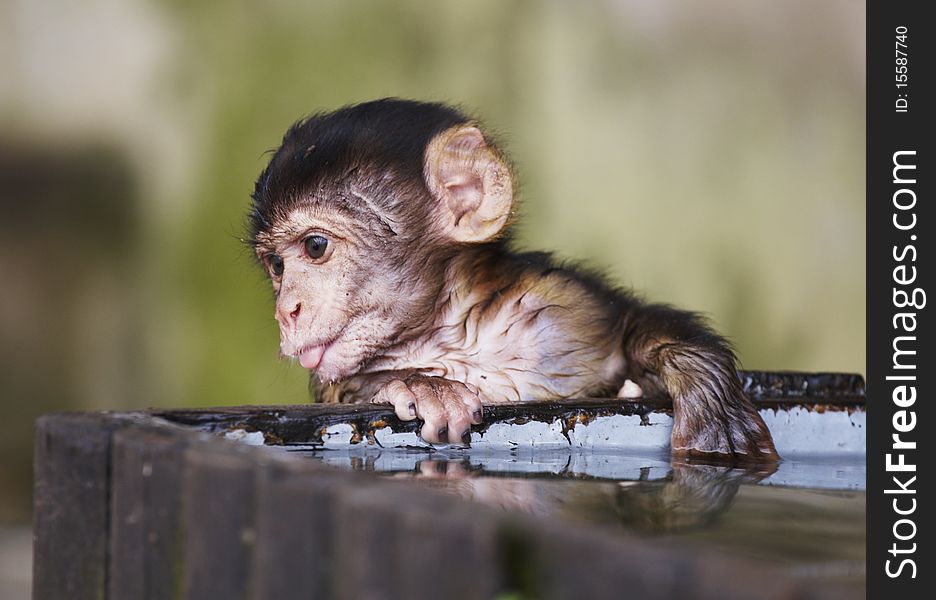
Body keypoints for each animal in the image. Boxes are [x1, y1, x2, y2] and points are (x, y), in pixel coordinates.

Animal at [249, 101, 776, 462]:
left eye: (315, 246)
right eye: (276, 266)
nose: (285, 310)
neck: (453, 333)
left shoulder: (562, 306)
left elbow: (630, 326)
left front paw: (708, 395)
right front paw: (423, 386)